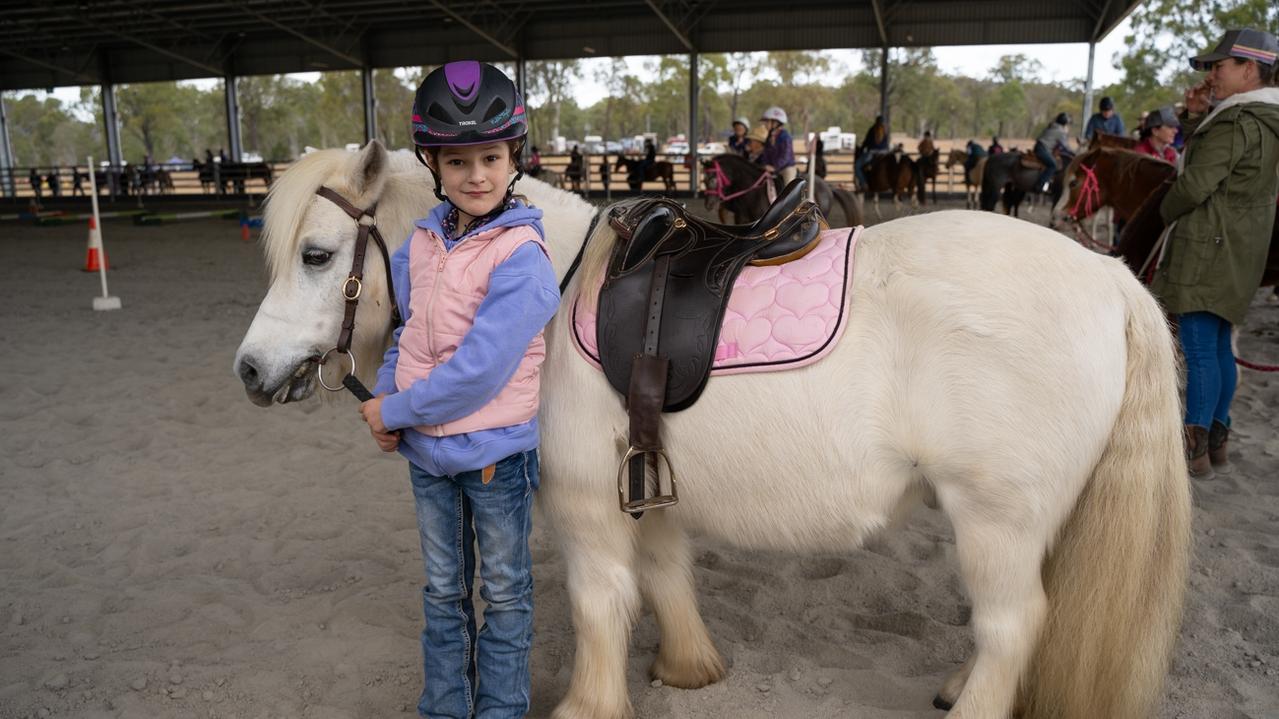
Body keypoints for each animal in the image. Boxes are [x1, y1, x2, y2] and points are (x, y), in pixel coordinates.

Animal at [706, 153, 864, 226]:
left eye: (713, 179)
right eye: (704, 179)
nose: (709, 204)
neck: (753, 192)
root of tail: (827, 186)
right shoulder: (742, 220)